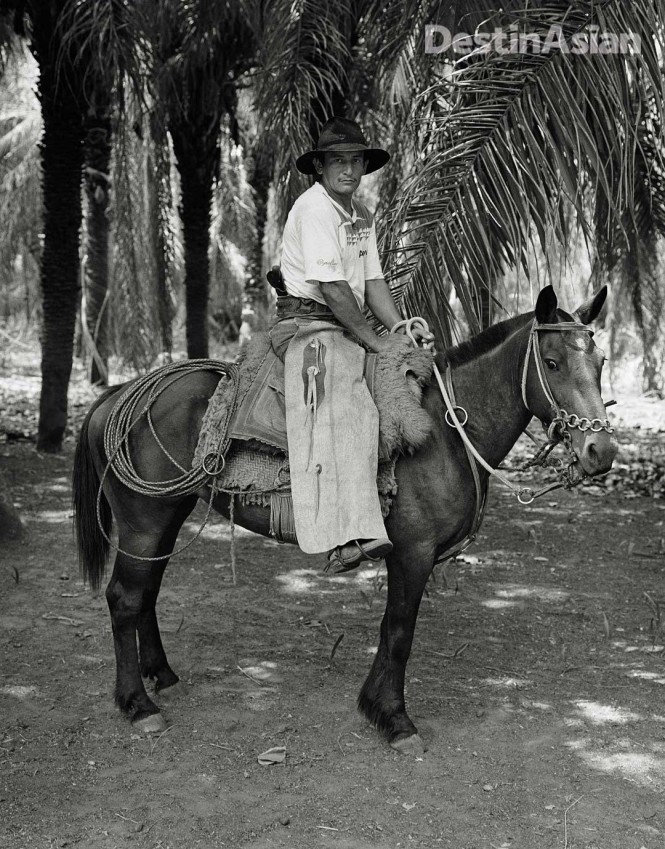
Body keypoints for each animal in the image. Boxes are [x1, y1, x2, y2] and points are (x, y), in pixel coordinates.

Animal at [70, 286, 616, 756]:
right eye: (552, 362)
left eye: (600, 362)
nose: (601, 451)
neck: (447, 431)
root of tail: (119, 395)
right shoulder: (413, 554)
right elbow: (400, 633)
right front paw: (395, 719)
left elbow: (388, 629)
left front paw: (373, 704)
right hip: (145, 520)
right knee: (125, 598)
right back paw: (138, 704)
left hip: (167, 515)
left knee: (146, 594)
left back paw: (160, 675)